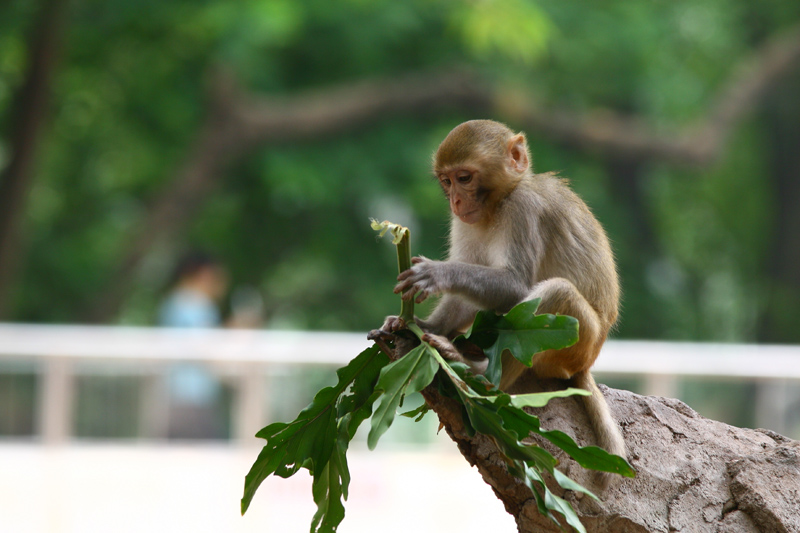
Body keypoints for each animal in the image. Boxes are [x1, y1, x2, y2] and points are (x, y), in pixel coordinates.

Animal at [378, 118, 628, 472]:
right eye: (446, 181)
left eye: (464, 178)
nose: (455, 201)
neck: (496, 205)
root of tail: (589, 360)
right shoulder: (465, 223)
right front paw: (423, 326)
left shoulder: (522, 210)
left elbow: (517, 286)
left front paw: (439, 274)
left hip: (580, 344)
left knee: (556, 292)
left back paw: (481, 376)